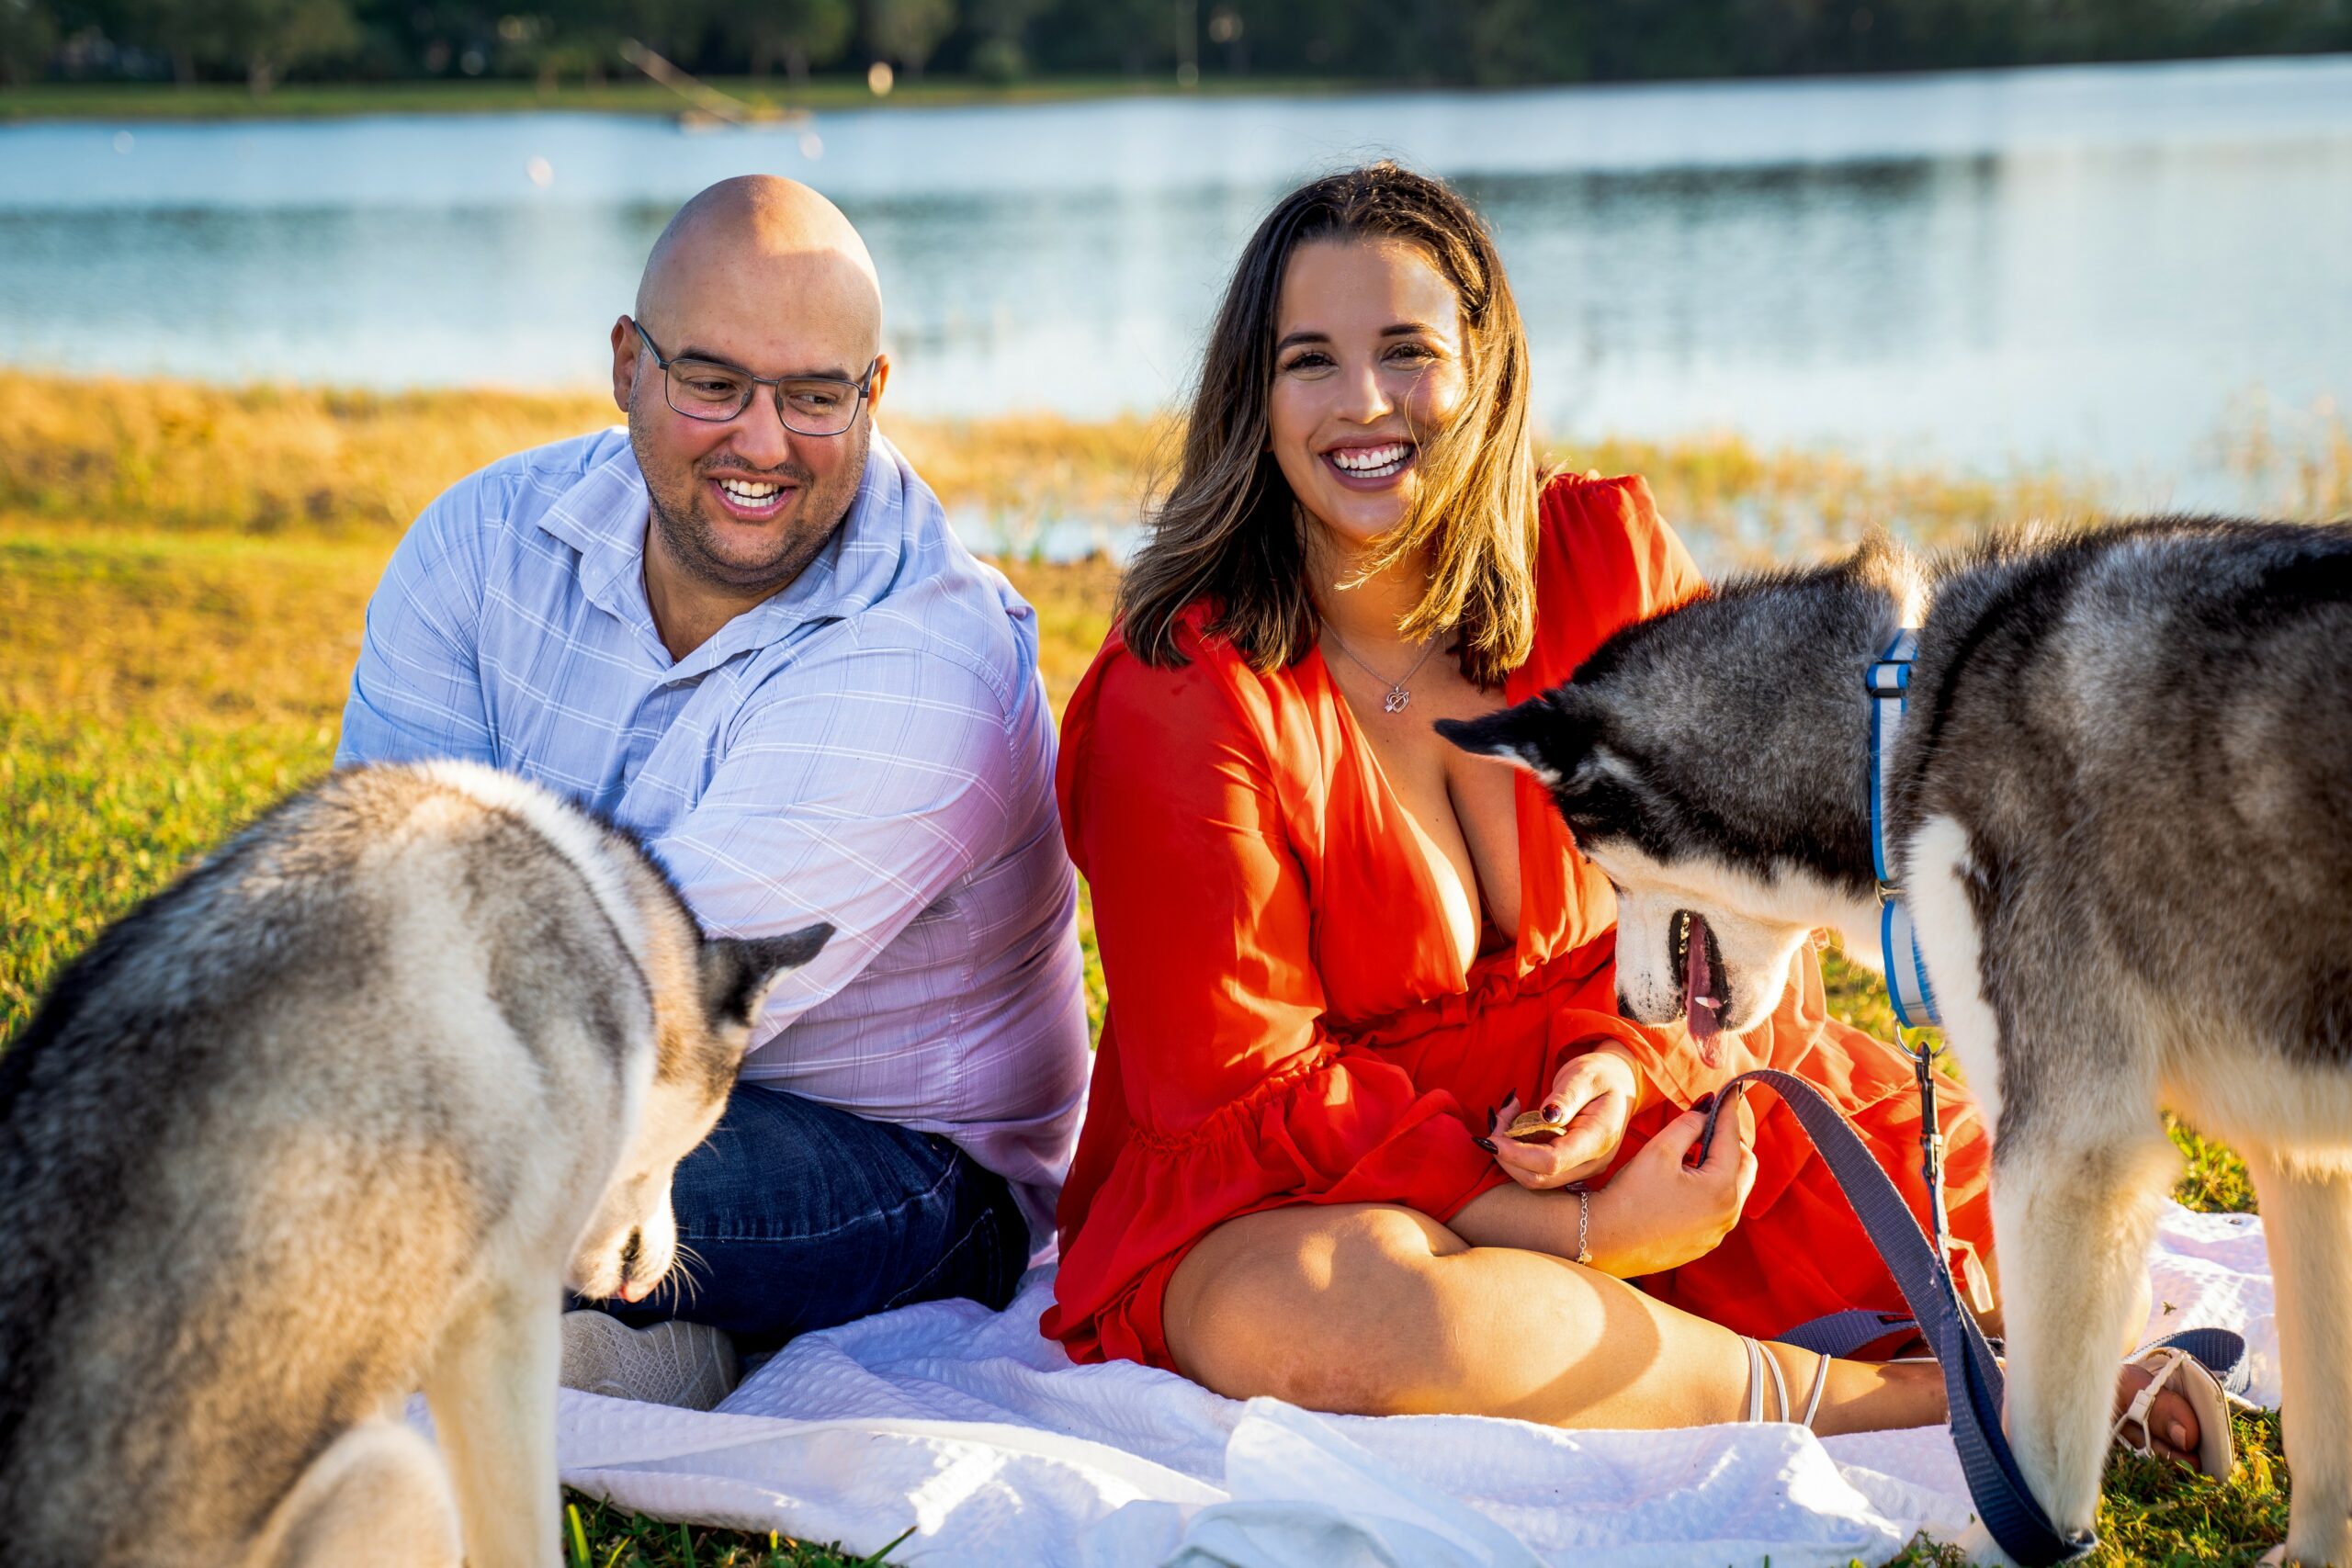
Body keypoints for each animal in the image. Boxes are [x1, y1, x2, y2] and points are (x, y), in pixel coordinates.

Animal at [0, 760, 830, 1568]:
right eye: (699, 1138)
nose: (653, 1272)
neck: (605, 912)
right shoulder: (502, 1316)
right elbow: (522, 1536)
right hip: (399, 1474)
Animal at [1438, 519, 2352, 1565]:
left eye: (1598, 864)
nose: (1625, 1007)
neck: (1904, 726)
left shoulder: (2070, 1159)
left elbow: (2035, 1459)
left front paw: (2009, 1541)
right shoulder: (2301, 1151)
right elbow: (2323, 1428)